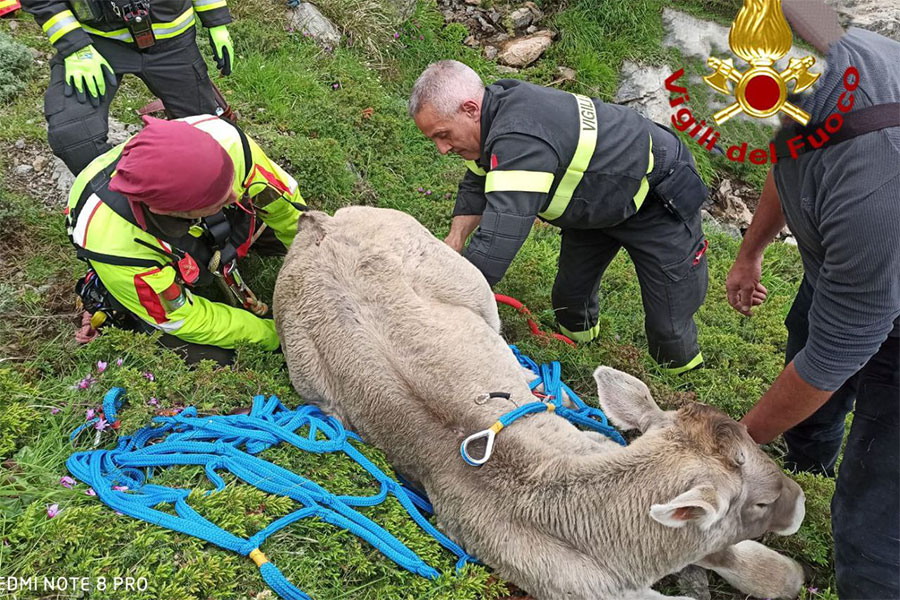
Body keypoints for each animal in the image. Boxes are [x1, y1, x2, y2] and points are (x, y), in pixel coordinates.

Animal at [273, 206, 806, 600]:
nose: (799, 501)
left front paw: (787, 575)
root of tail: (320, 222)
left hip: (467, 283)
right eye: (760, 502)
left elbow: (737, 556)